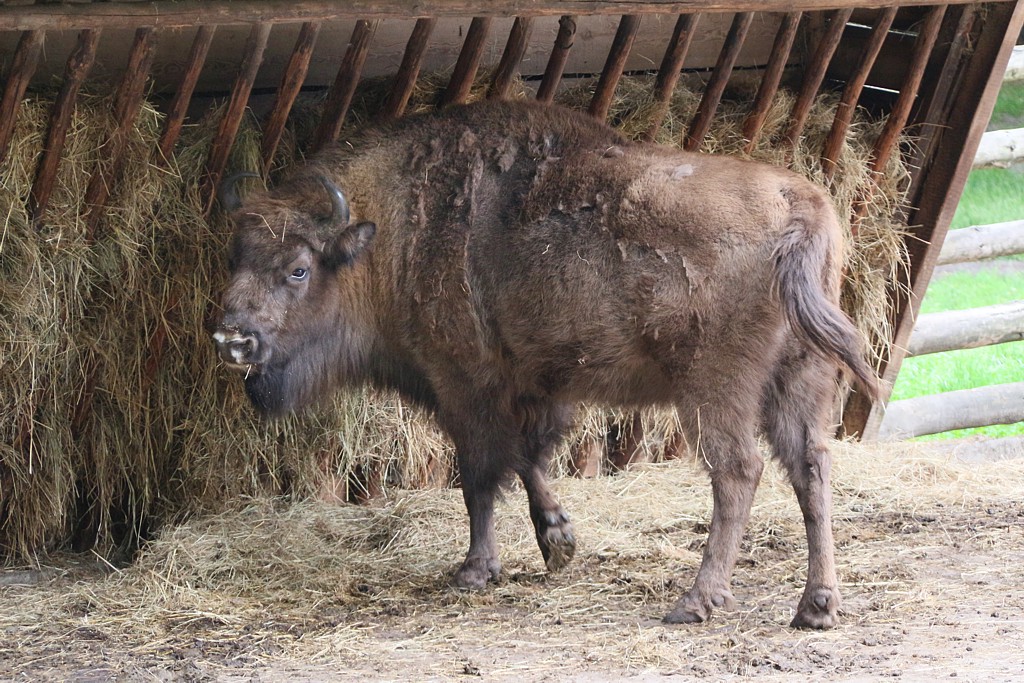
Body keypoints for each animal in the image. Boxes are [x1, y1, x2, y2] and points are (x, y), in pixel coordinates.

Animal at [213, 100, 878, 629]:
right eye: (236, 257)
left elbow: (481, 474)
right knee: (811, 468)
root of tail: (800, 207)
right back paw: (816, 606)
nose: (230, 338)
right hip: (800, 379)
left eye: (298, 269)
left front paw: (476, 570)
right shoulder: (536, 383)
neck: (397, 228)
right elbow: (529, 457)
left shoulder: (467, 385)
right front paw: (558, 541)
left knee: (738, 471)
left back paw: (696, 601)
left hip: (716, 388)